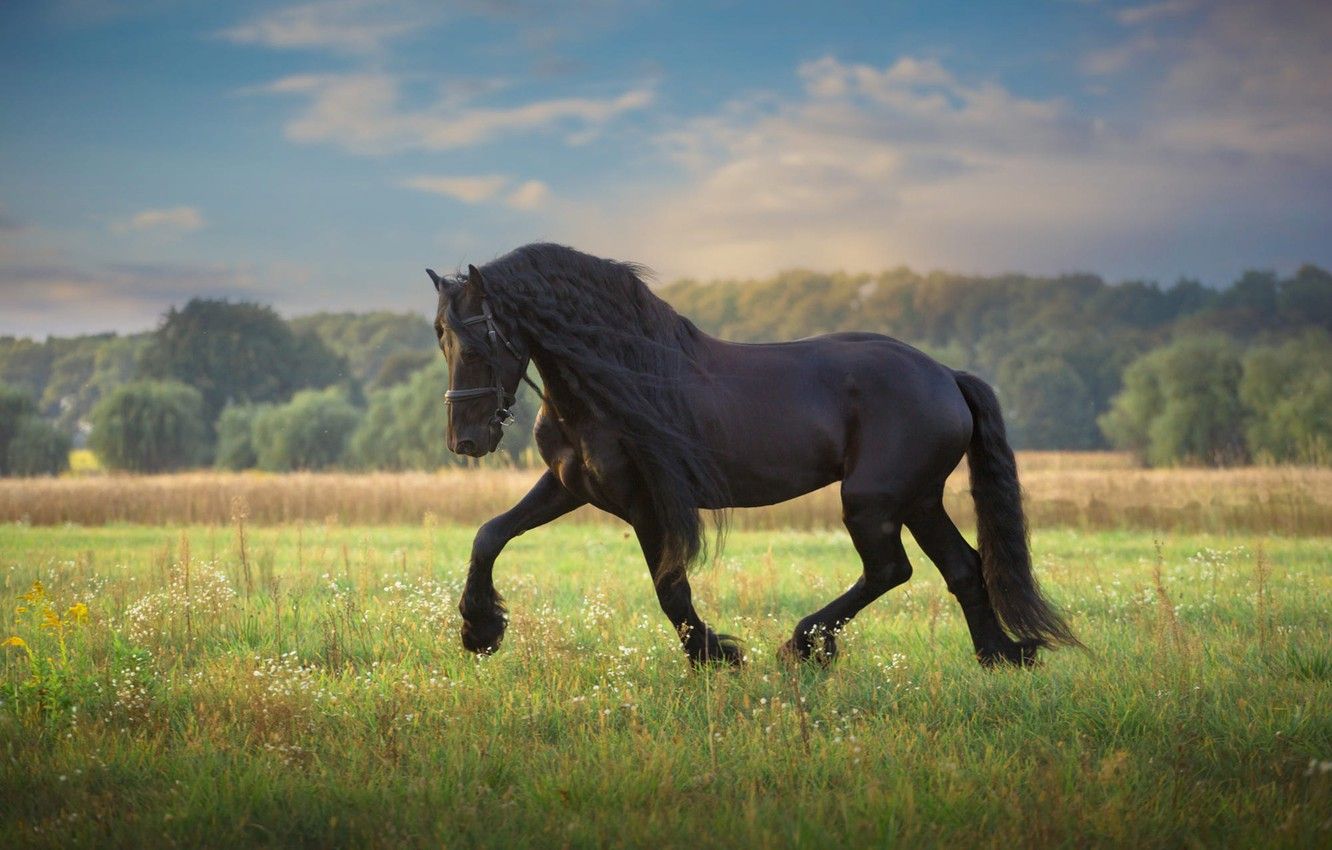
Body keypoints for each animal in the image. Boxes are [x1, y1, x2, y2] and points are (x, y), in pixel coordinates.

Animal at [426, 243, 1080, 668]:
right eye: (440, 335)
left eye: (482, 337)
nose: (466, 441)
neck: (615, 377)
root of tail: (946, 376)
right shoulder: (570, 486)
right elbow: (489, 535)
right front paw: (480, 630)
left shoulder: (647, 502)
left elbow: (670, 588)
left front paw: (715, 656)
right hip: (917, 498)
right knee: (963, 567)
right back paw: (1001, 656)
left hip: (872, 500)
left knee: (891, 570)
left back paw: (804, 644)